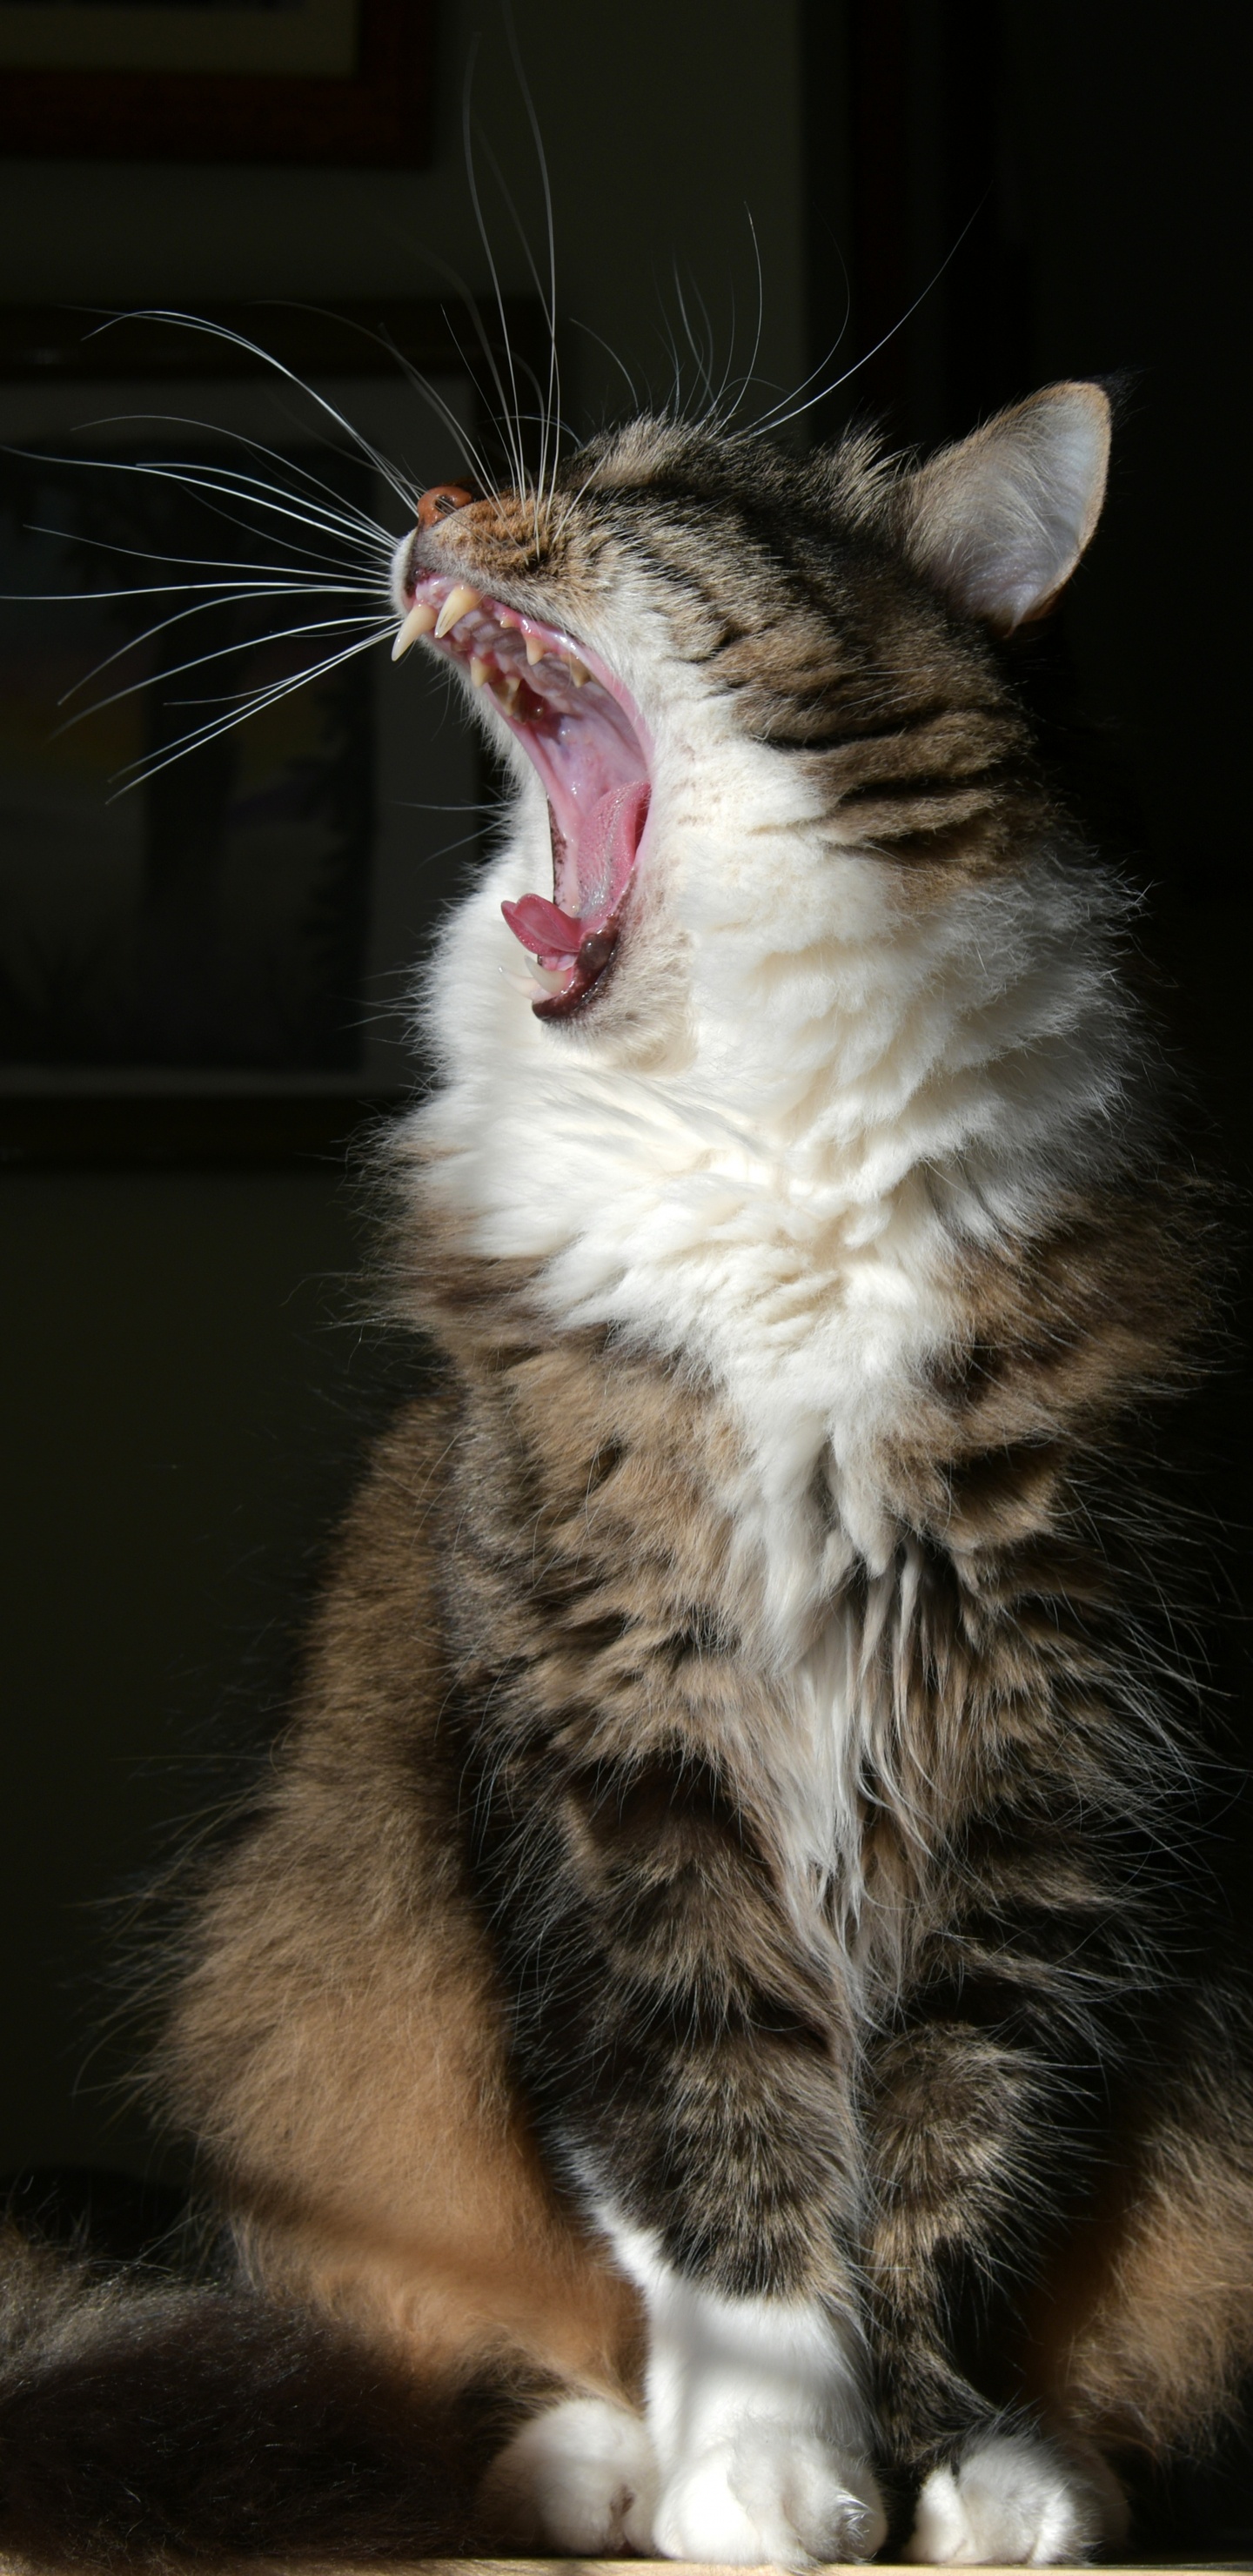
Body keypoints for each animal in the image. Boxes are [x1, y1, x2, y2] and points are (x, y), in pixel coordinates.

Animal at [2, 386, 1253, 2576]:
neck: (762, 1156)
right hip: (306, 1980)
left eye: (657, 495)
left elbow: (954, 2162)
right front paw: (758, 2472)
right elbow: (706, 2150)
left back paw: (1058, 2471)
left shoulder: (1044, 1763)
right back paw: (594, 2466)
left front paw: (943, 2463)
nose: (434, 498)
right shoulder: (613, 1751)